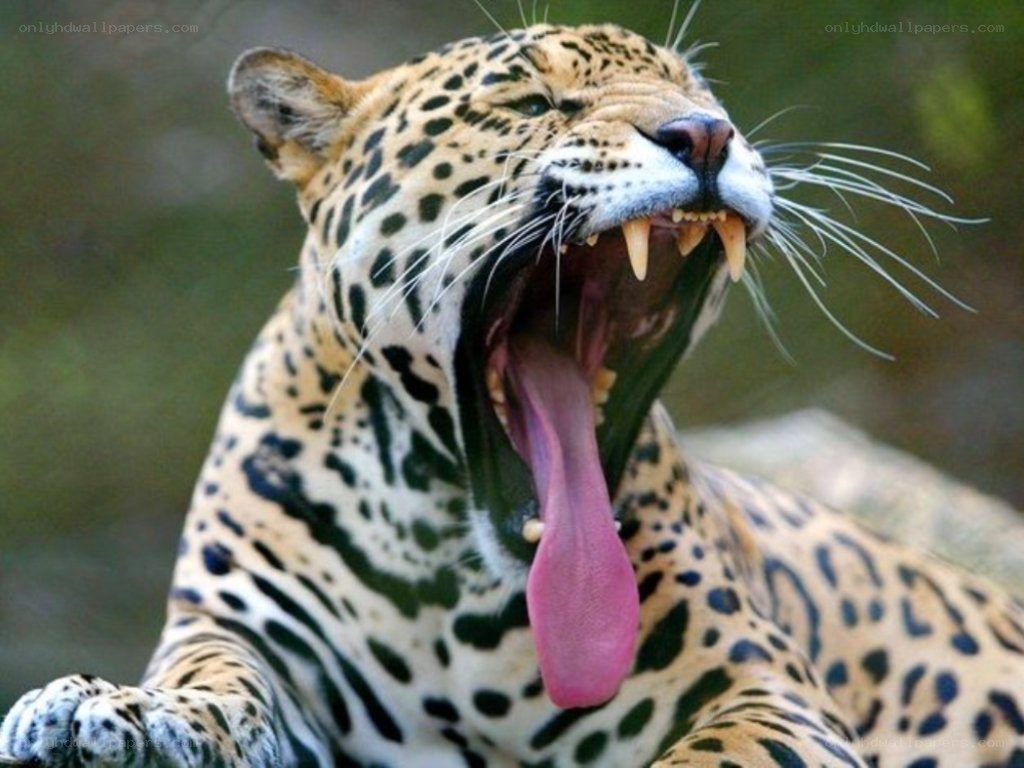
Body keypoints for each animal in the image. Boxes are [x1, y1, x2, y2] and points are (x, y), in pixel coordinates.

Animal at [2, 19, 1023, 768]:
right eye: (534, 103)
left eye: (704, 99)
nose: (705, 135)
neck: (440, 556)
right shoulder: (247, 632)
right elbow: (210, 682)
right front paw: (115, 712)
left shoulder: (765, 691)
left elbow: (713, 755)